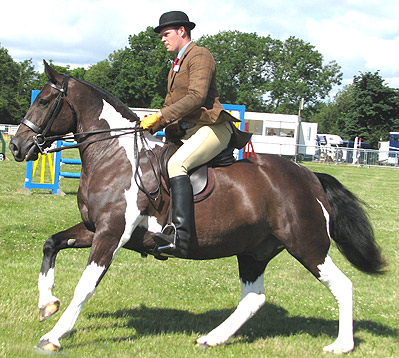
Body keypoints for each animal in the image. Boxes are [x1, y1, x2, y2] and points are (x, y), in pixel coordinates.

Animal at [7, 61, 386, 352]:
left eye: (44, 101)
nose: (16, 146)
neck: (115, 155)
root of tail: (309, 177)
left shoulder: (111, 233)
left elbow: (85, 285)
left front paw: (54, 336)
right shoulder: (93, 228)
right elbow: (51, 244)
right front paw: (46, 304)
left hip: (307, 245)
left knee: (342, 286)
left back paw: (342, 345)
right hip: (254, 250)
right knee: (254, 298)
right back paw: (212, 338)